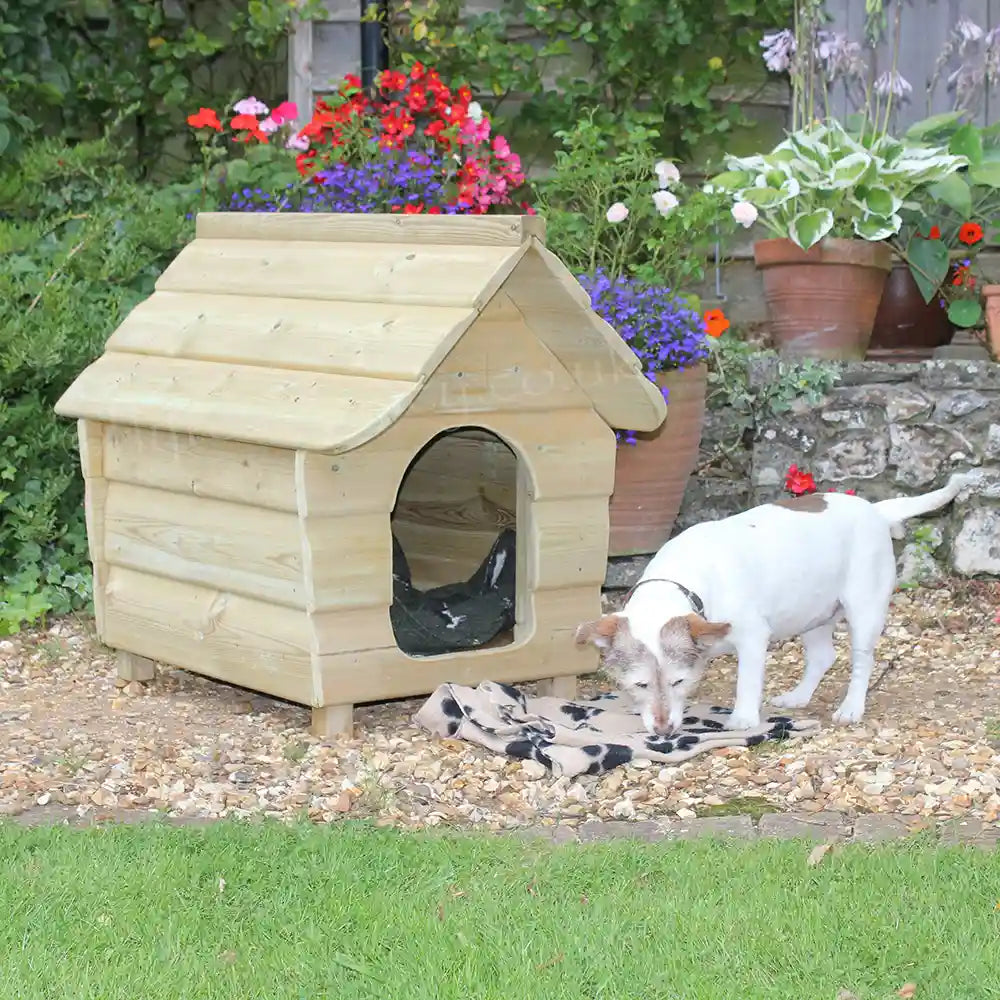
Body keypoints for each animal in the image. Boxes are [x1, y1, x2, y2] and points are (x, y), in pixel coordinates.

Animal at [580, 468, 976, 736]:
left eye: (678, 681)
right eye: (640, 685)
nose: (663, 732)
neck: (684, 585)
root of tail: (877, 511)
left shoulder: (753, 638)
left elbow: (747, 681)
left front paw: (742, 718)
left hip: (863, 611)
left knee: (863, 662)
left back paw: (851, 707)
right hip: (812, 612)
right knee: (823, 656)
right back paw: (798, 697)